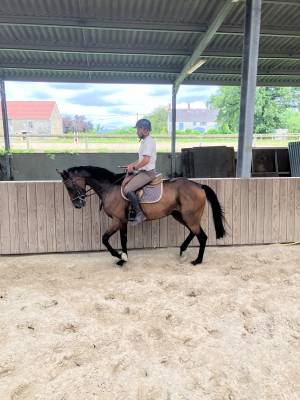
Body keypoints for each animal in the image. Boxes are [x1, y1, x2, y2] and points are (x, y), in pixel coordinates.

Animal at [58, 166, 225, 266]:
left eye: (69, 186)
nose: (78, 205)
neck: (110, 188)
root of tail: (199, 186)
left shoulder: (117, 220)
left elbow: (105, 239)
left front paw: (118, 256)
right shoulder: (122, 221)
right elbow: (123, 240)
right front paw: (123, 258)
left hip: (190, 217)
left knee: (202, 236)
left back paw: (197, 260)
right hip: (181, 215)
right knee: (193, 232)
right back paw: (183, 252)